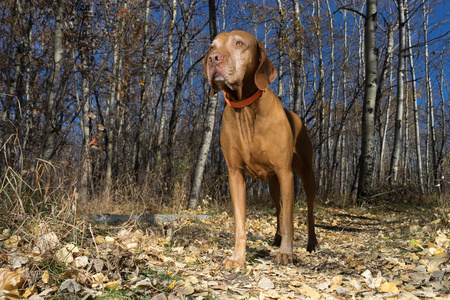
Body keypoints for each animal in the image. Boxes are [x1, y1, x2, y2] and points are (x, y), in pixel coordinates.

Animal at [204, 30, 316, 268]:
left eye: (239, 43)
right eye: (211, 47)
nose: (213, 59)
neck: (246, 110)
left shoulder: (285, 173)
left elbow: (290, 219)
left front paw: (286, 253)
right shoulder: (235, 174)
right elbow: (240, 223)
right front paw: (238, 257)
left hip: (306, 174)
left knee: (309, 210)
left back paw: (311, 242)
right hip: (273, 184)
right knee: (278, 207)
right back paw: (277, 238)